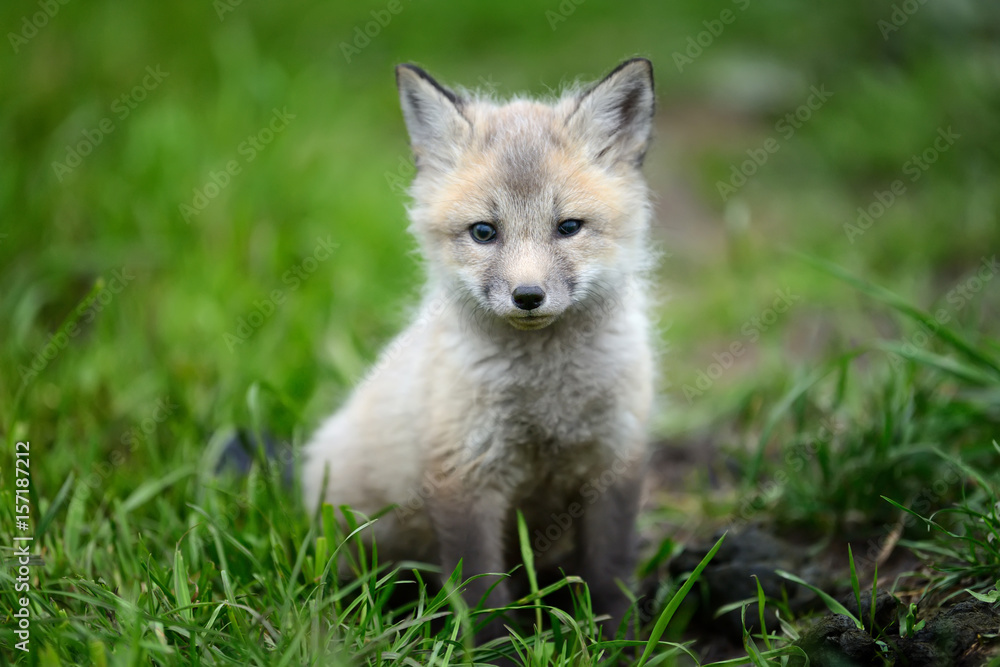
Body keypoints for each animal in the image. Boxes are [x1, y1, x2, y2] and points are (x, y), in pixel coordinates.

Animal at [302, 58, 658, 646]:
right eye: (484, 232)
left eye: (569, 227)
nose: (528, 296)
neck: (546, 396)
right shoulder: (465, 474)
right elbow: (482, 592)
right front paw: (495, 652)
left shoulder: (614, 459)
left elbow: (610, 574)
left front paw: (620, 643)